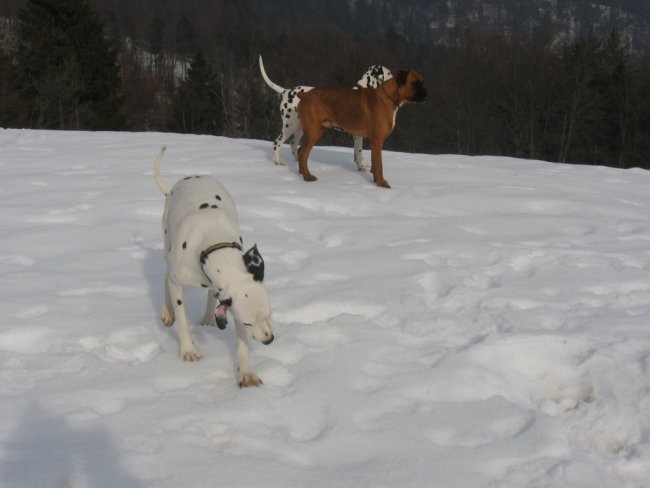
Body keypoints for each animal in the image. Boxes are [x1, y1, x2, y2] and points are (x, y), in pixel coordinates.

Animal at [298, 69, 426, 188]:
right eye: (415, 83)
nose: (426, 93)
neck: (389, 97)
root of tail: (305, 95)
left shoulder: (375, 142)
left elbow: (375, 164)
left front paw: (376, 181)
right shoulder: (377, 141)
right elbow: (379, 164)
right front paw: (381, 184)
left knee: (300, 151)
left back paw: (301, 173)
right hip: (314, 132)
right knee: (303, 153)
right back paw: (307, 177)